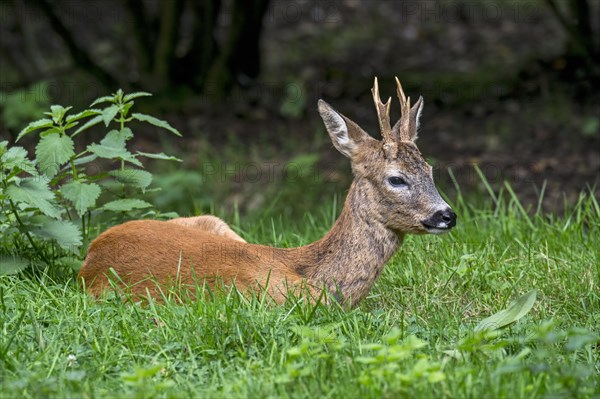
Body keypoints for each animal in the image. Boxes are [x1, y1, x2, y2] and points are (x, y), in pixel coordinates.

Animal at [78, 79, 454, 310]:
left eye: (430, 170)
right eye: (396, 179)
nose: (447, 215)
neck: (317, 280)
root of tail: (91, 254)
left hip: (214, 222)